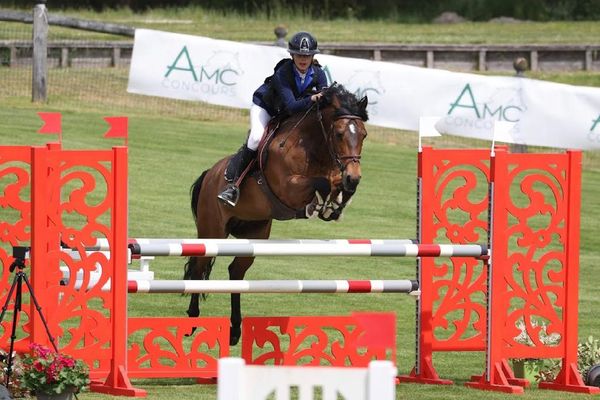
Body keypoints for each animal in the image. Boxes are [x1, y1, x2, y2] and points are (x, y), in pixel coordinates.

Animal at [185, 83, 368, 344]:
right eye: (340, 134)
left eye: (363, 135)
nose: (354, 177)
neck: (314, 144)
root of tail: (211, 173)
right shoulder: (288, 187)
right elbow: (320, 183)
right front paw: (318, 205)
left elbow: (334, 183)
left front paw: (334, 206)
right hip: (211, 230)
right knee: (199, 268)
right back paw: (192, 320)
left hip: (254, 234)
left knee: (236, 271)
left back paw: (235, 329)